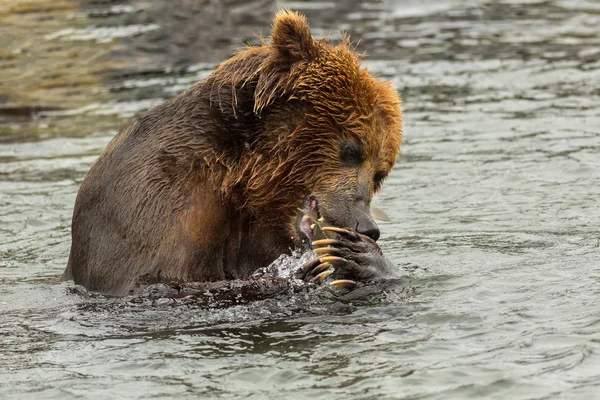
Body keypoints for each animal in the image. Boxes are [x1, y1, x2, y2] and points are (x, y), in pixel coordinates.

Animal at [64, 10, 404, 296]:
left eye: (380, 173)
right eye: (351, 149)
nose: (368, 228)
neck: (237, 176)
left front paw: (364, 259)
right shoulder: (155, 203)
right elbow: (156, 281)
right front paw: (307, 272)